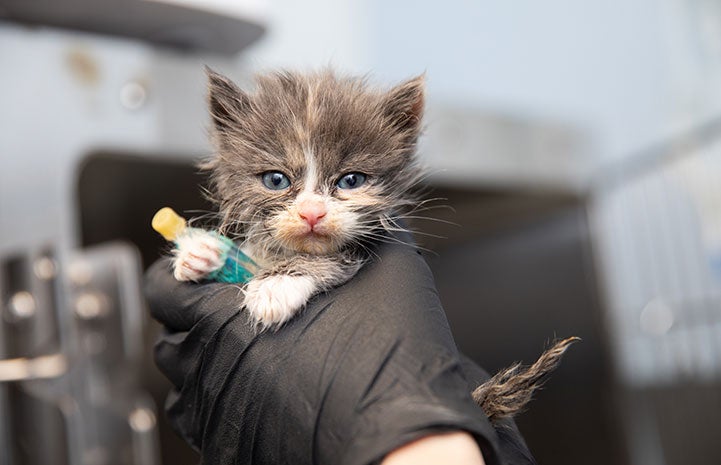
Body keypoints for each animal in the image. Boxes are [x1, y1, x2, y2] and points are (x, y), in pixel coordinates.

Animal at [172, 68, 576, 420]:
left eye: (351, 181)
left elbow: (330, 260)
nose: (312, 212)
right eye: (276, 180)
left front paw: (276, 285)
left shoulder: (361, 250)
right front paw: (202, 251)